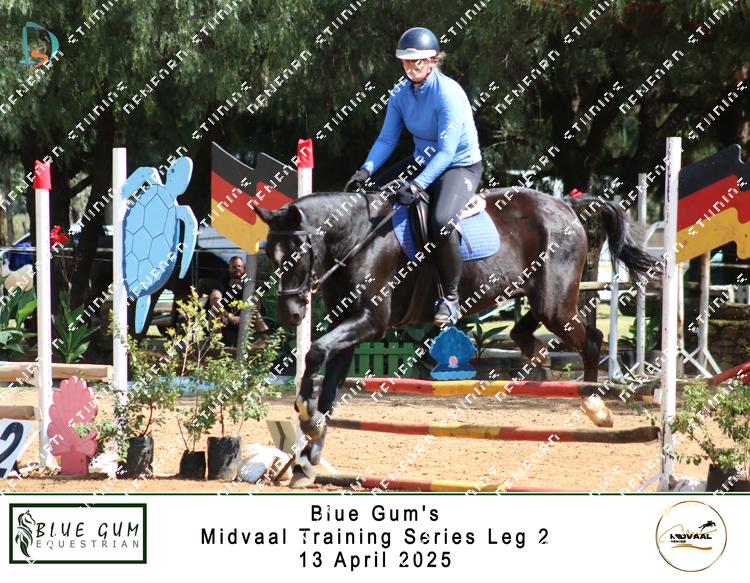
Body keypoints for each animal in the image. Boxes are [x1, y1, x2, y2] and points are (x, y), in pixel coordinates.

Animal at [256, 187, 656, 487]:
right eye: (271, 258)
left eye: (295, 255)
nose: (290, 315)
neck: (357, 240)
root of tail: (565, 205)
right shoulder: (350, 326)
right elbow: (327, 385)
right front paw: (307, 455)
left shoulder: (370, 321)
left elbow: (314, 353)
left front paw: (304, 414)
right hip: (540, 296)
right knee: (525, 327)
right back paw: (537, 352)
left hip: (555, 303)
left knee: (591, 338)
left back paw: (595, 405)